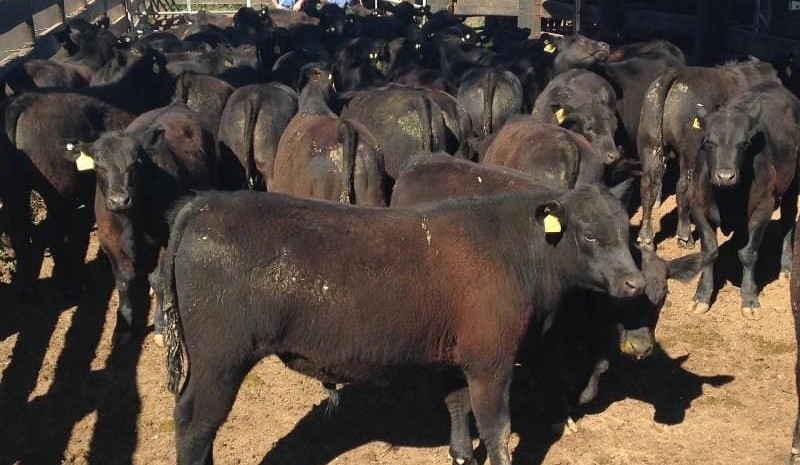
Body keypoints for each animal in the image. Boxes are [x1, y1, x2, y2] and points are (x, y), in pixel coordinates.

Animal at [61, 104, 217, 343]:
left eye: (136, 162)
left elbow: (158, 280)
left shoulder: (165, 240)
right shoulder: (108, 240)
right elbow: (123, 281)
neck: (131, 222)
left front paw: (161, 326)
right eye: (98, 164)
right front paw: (122, 327)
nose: (119, 200)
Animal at [155, 183, 645, 465]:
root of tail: (205, 205)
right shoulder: (492, 359)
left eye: (628, 231)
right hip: (221, 357)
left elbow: (457, 406)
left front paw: (461, 456)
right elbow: (497, 427)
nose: (633, 282)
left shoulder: (456, 354)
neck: (518, 248)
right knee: (196, 422)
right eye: (588, 233)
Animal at [637, 59, 780, 250]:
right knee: (683, 186)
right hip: (690, 152)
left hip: (649, 145)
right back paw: (684, 235)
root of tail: (676, 73)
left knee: (648, 185)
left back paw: (645, 237)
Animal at [687, 82, 800, 319]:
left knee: (788, 219)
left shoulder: (763, 208)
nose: (725, 176)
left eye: (744, 143)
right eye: (709, 142)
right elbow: (709, 251)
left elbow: (748, 254)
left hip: (793, 184)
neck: (727, 196)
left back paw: (786, 267)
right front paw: (701, 295)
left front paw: (749, 299)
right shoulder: (698, 206)